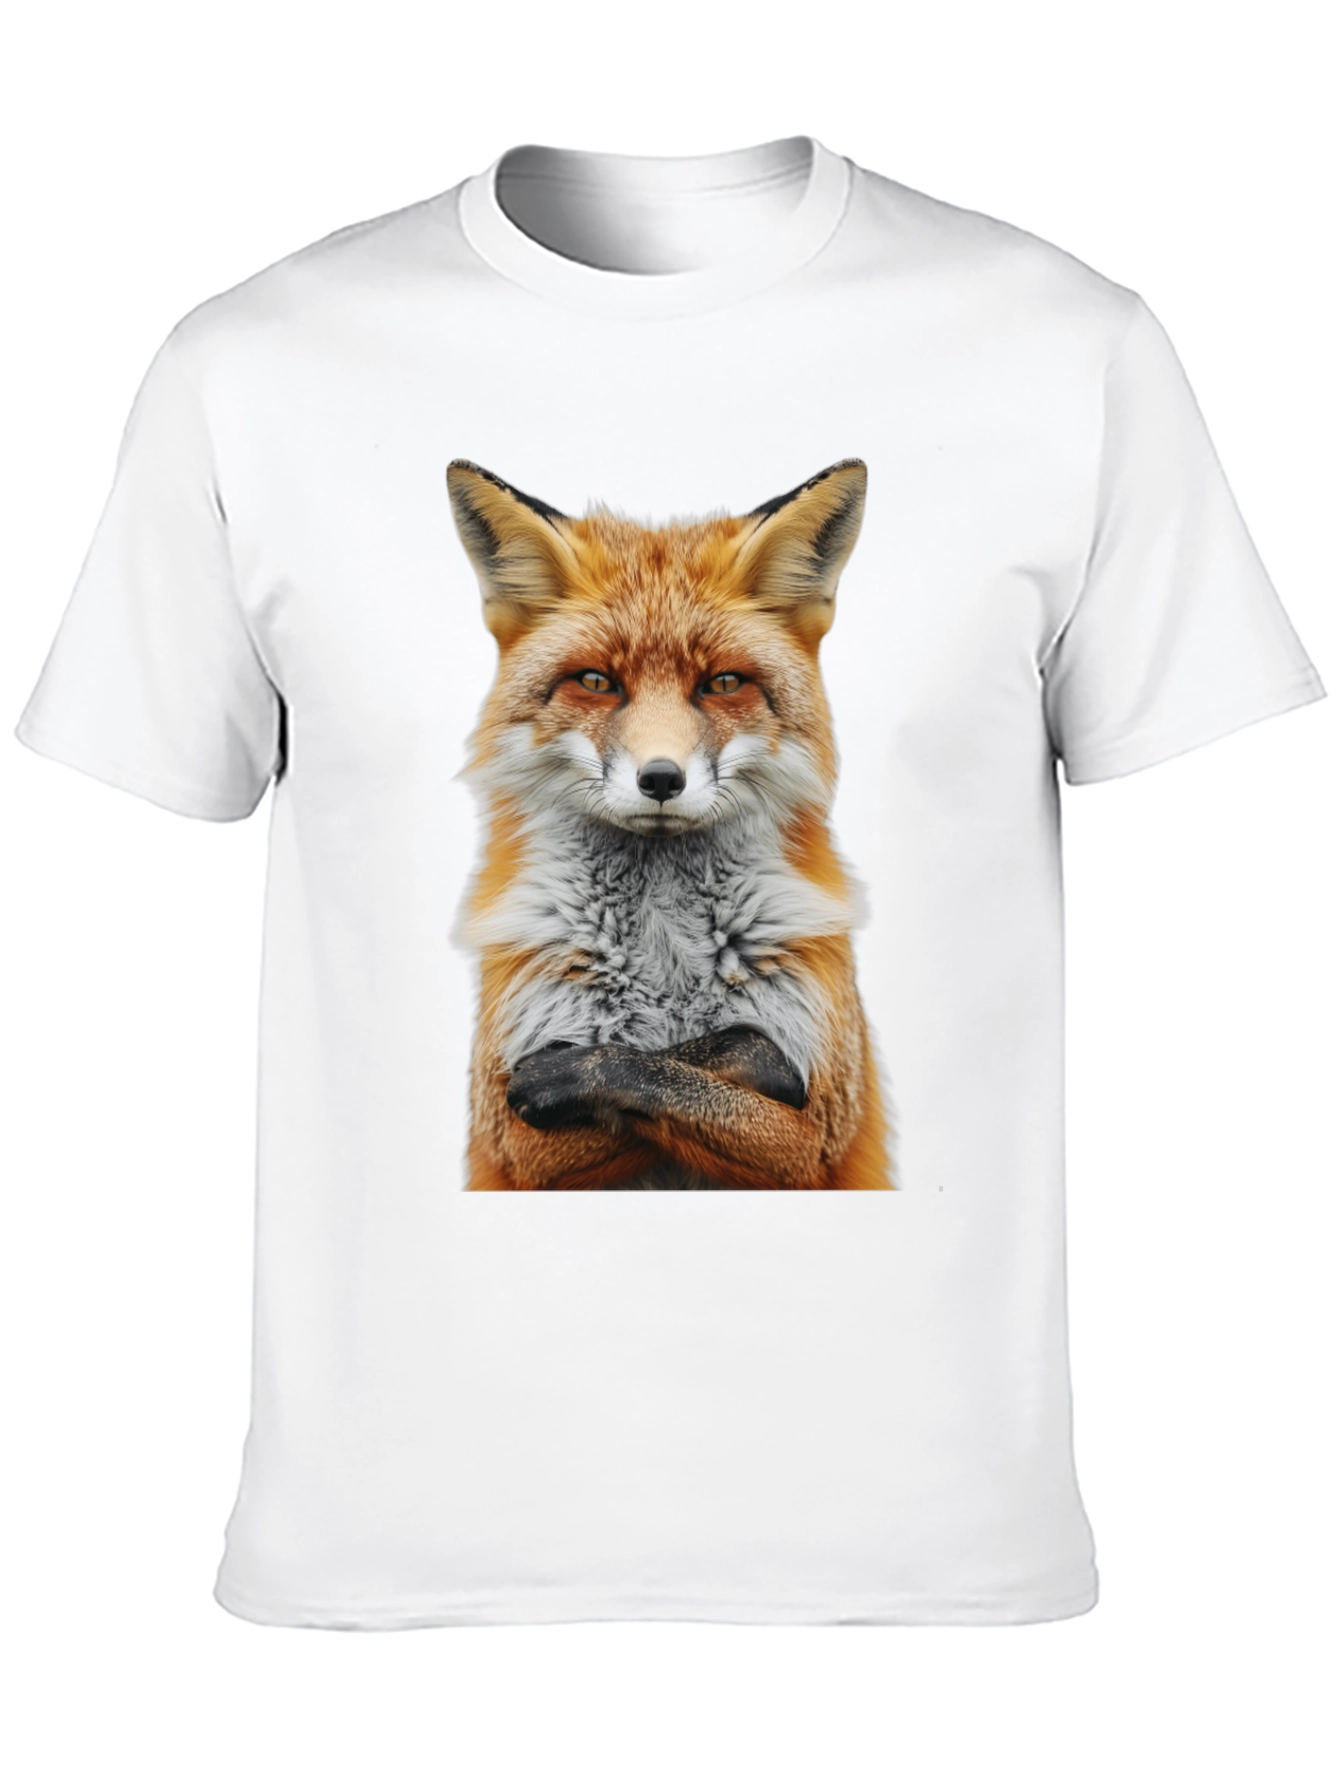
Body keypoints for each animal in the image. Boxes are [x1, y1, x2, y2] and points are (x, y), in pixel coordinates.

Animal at [445, 456, 895, 1191]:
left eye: (723, 684)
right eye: (596, 681)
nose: (661, 779)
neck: (664, 958)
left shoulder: (818, 1131)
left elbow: (690, 1069)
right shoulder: (513, 1140)